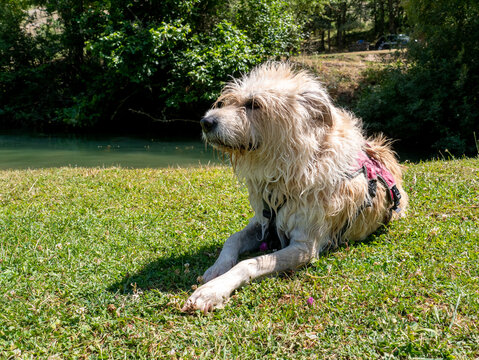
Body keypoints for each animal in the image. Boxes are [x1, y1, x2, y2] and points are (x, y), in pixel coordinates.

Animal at [182, 63, 406, 314]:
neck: (288, 170)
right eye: (228, 101)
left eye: (254, 104)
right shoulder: (261, 222)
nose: (205, 122)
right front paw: (217, 269)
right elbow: (232, 239)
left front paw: (212, 291)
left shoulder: (304, 246)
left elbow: (248, 263)